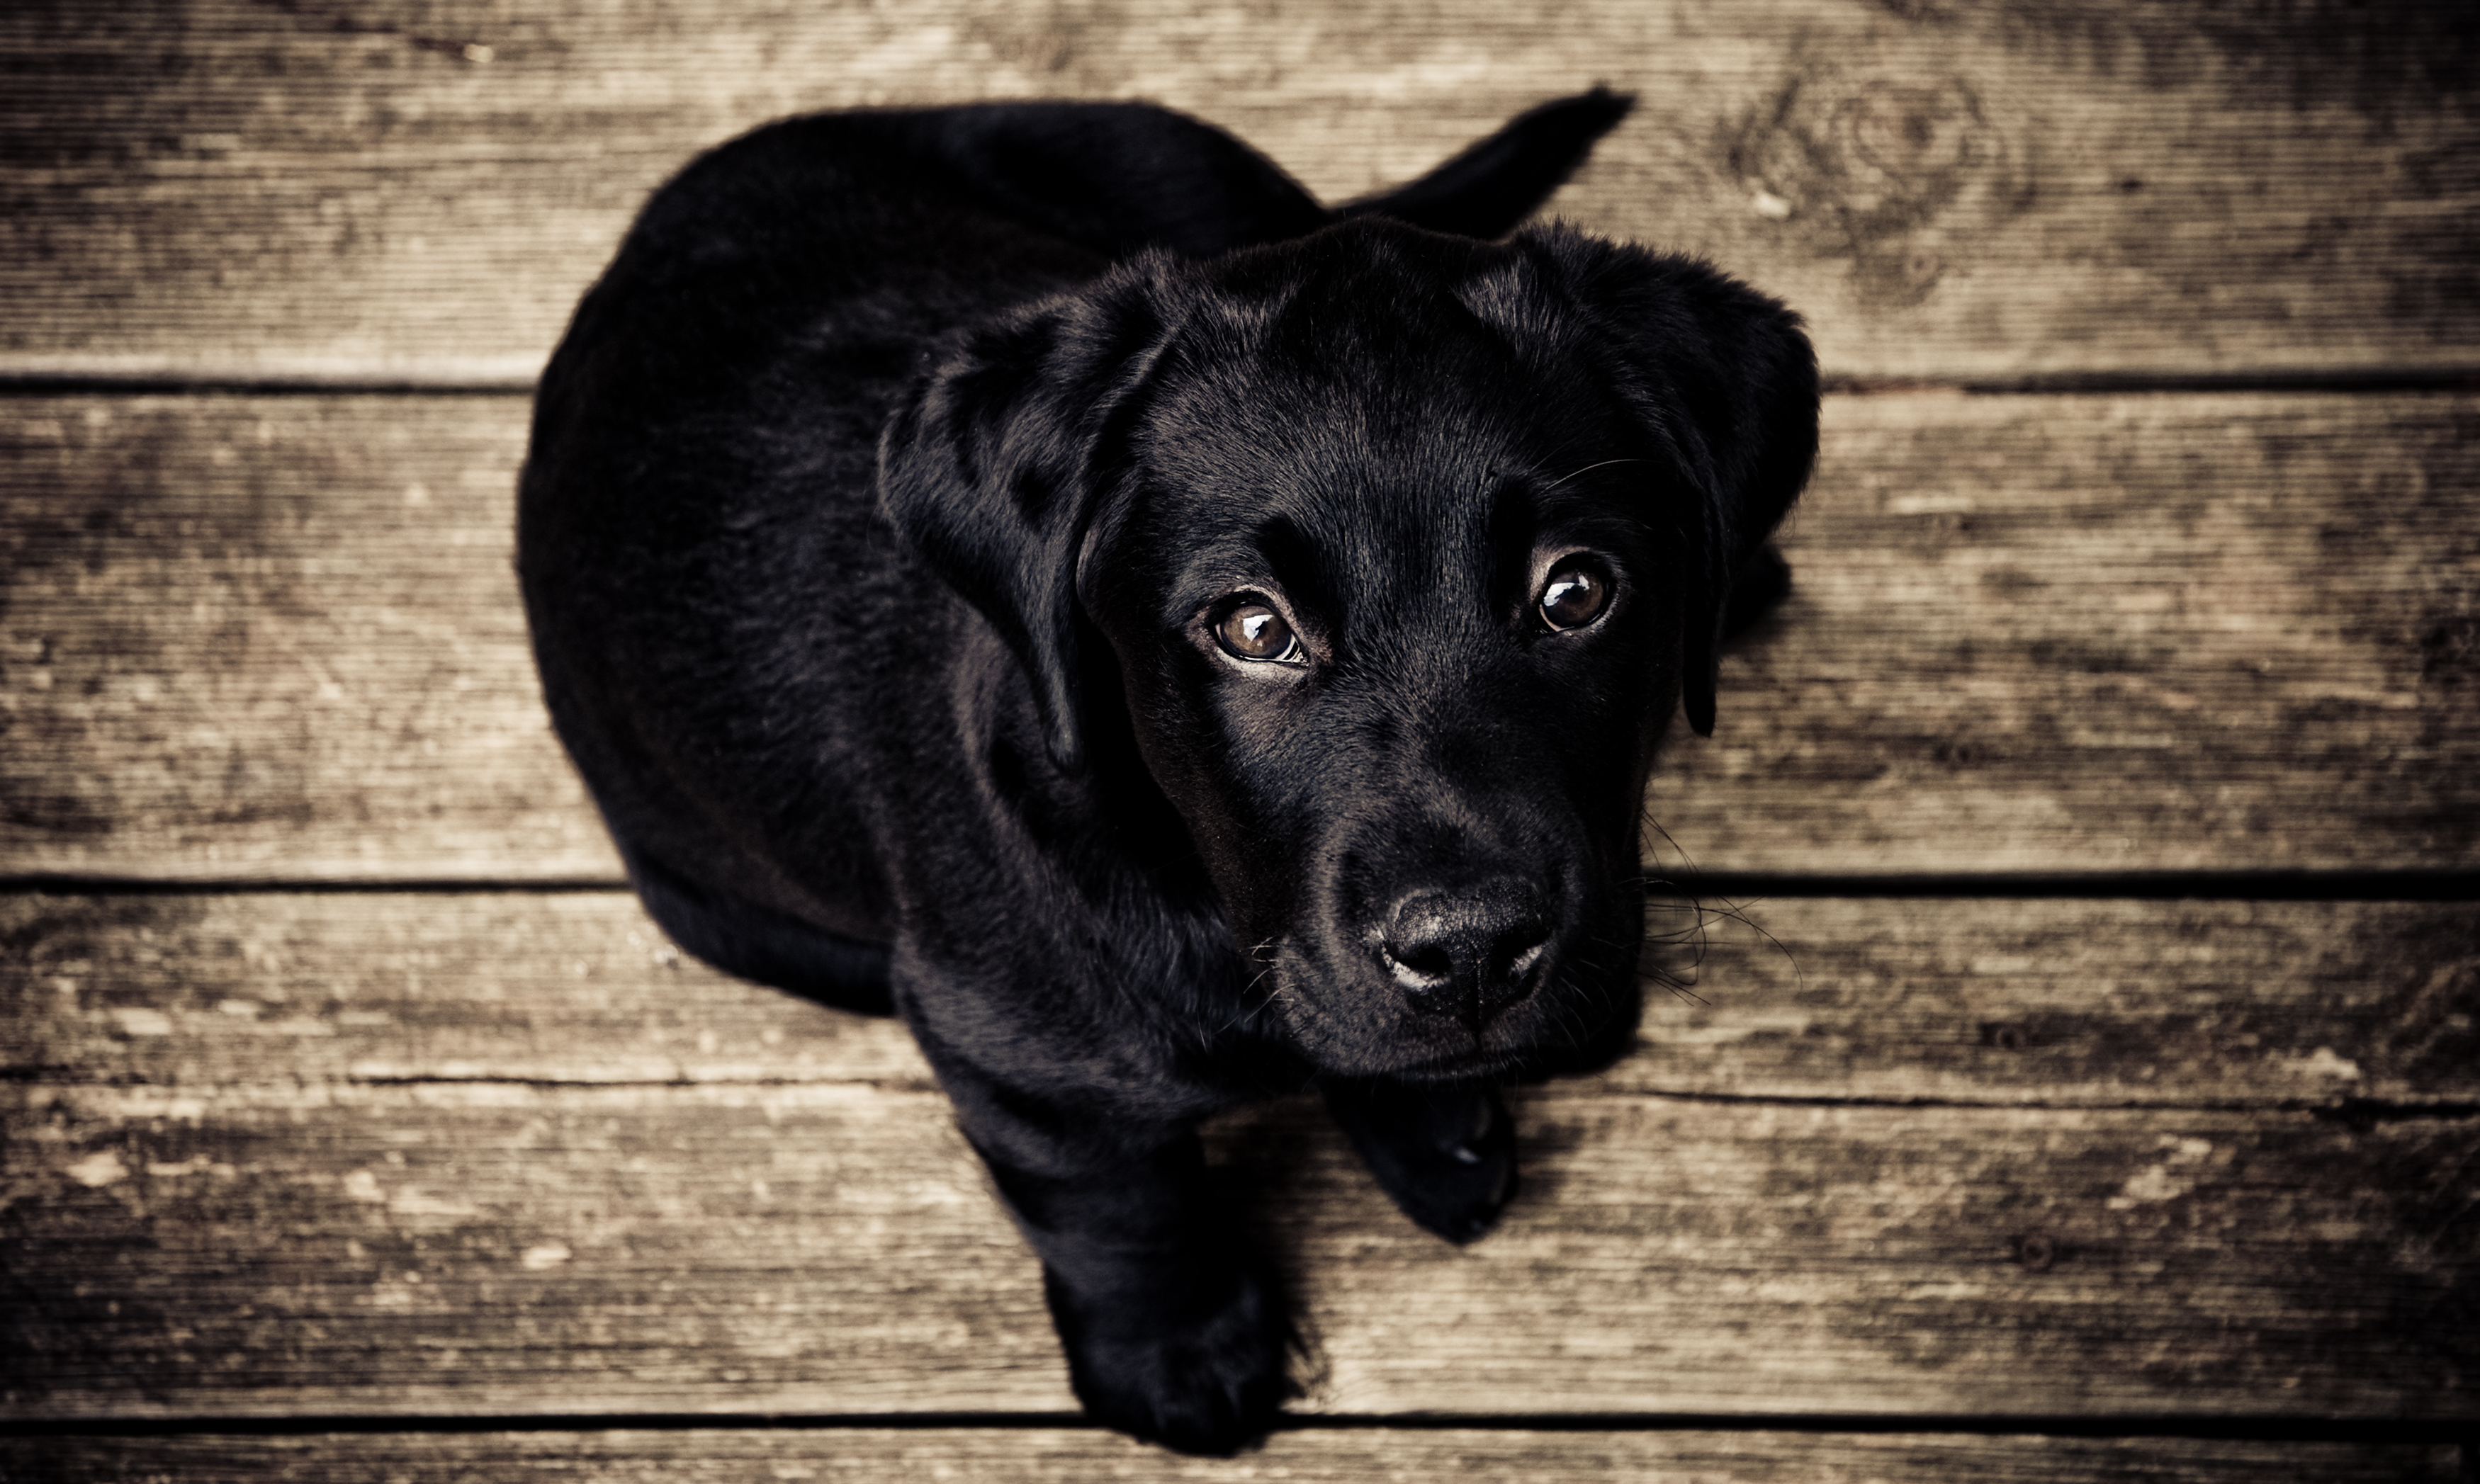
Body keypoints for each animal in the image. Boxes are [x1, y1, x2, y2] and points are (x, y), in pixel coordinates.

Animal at [513, 89, 1815, 1446]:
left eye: (1576, 593)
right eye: (1251, 628)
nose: (1469, 953)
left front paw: (1425, 1119)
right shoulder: (1009, 1053)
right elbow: (1118, 1207)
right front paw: (1180, 1352)